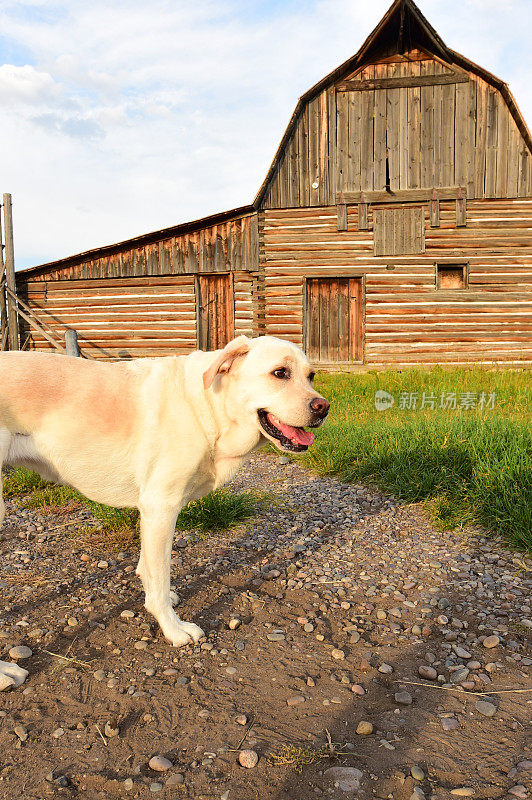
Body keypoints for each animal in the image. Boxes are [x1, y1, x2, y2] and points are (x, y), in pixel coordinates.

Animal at [0, 334, 328, 664]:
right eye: (280, 373)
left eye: (311, 375)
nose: (324, 407)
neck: (206, 407)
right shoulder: (161, 507)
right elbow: (160, 579)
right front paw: (173, 628)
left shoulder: (152, 511)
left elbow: (148, 569)